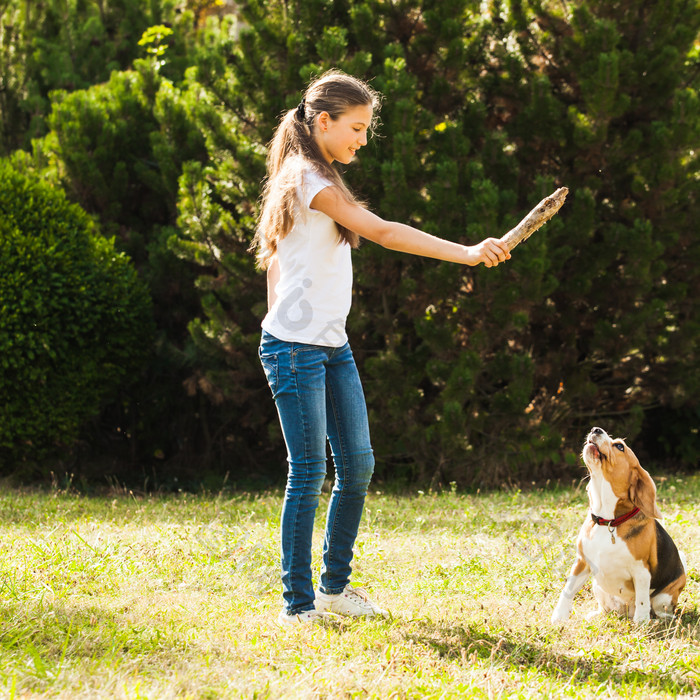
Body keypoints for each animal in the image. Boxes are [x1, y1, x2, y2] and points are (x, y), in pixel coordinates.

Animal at [552, 426, 684, 624]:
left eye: (620, 446)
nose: (595, 429)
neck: (608, 521)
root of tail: (625, 611)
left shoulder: (641, 571)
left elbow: (642, 601)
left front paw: (641, 623)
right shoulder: (581, 562)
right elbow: (567, 589)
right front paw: (558, 617)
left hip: (665, 596)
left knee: (659, 610)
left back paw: (656, 620)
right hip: (597, 586)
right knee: (606, 609)